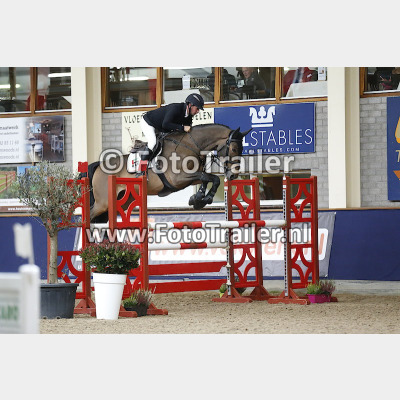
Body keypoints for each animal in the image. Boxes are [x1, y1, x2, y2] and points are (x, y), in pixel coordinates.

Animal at [86, 124, 250, 222]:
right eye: (234, 149)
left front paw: (198, 199)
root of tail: (99, 166)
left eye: (242, 149)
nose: (233, 175)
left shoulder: (193, 177)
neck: (191, 145)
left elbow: (208, 178)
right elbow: (212, 178)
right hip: (103, 202)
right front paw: (205, 198)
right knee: (89, 216)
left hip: (122, 201)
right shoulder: (179, 179)